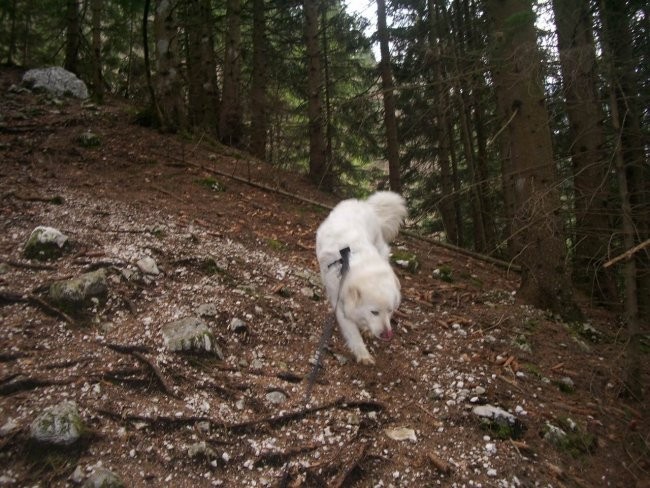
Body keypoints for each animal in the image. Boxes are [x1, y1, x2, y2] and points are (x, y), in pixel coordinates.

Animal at [316, 191, 404, 362]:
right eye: (374, 312)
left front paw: (366, 330)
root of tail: (363, 204)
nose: (387, 335)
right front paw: (362, 353)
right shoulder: (339, 304)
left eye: (390, 311)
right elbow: (352, 332)